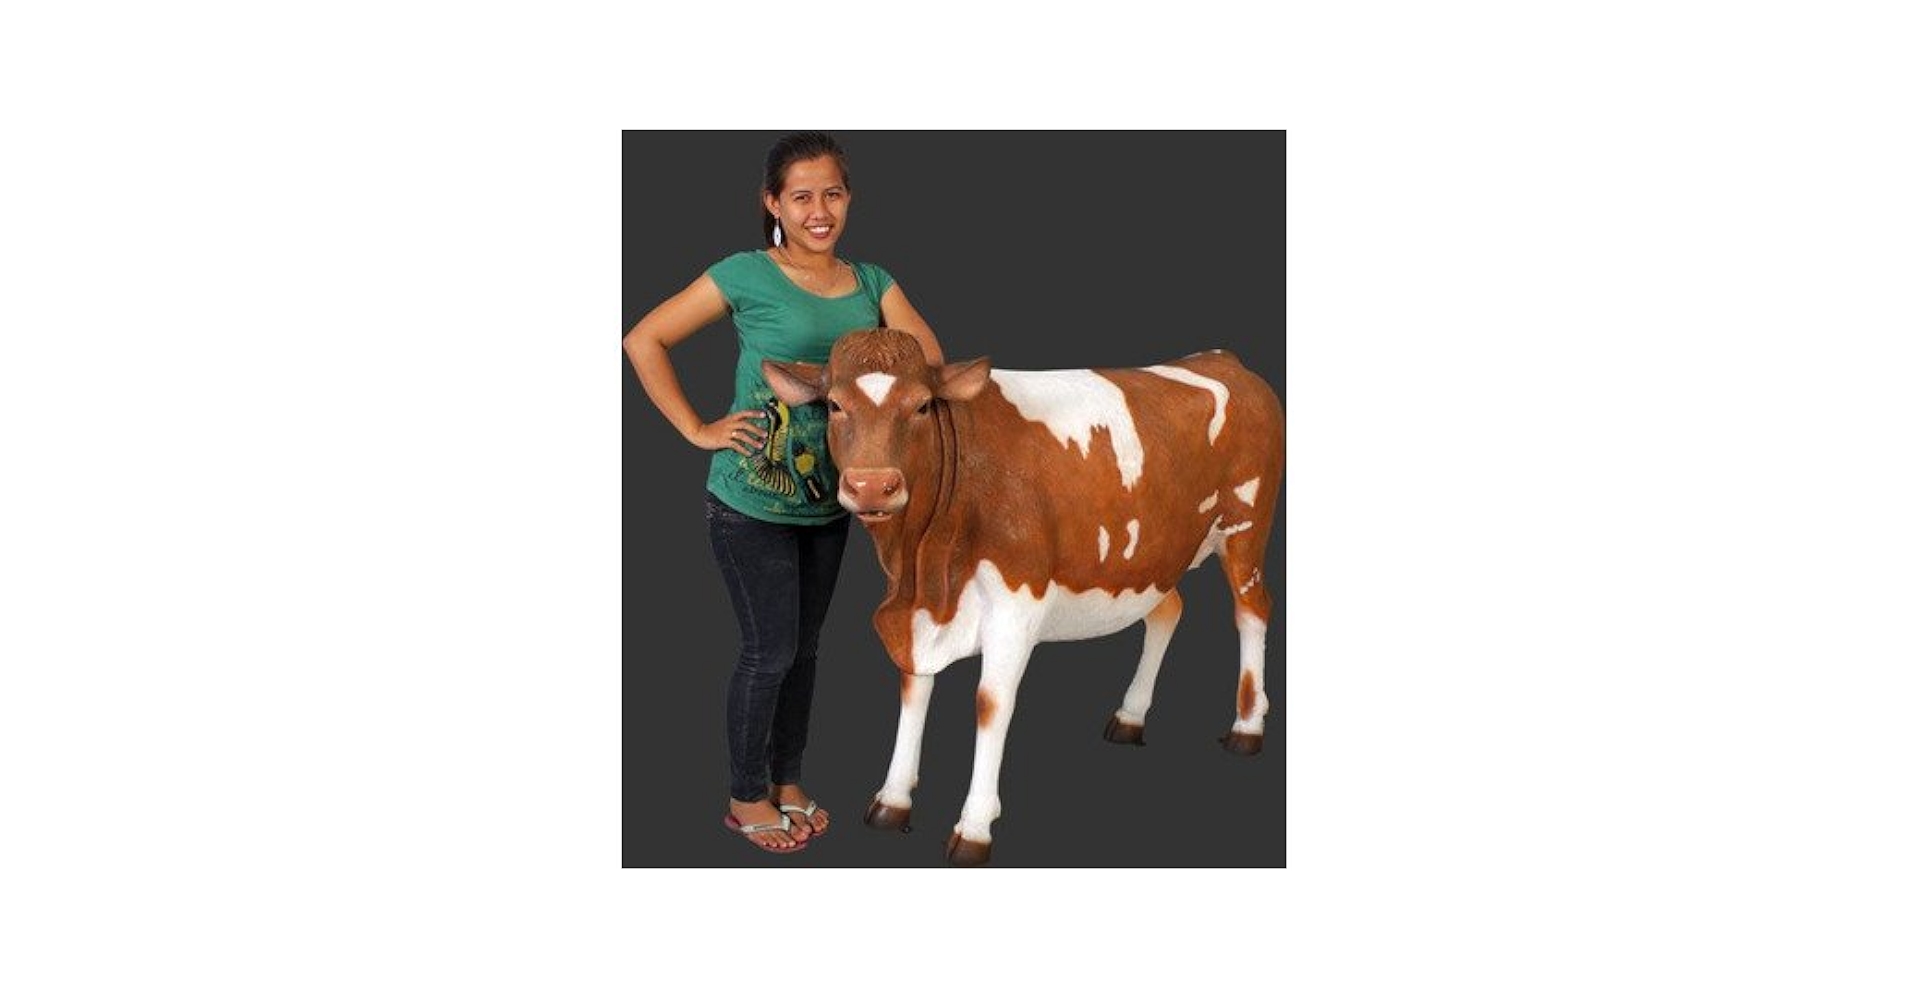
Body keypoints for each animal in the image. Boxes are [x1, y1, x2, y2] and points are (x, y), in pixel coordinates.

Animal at [764, 328, 1284, 866]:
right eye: (835, 405)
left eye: (923, 405)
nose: (871, 486)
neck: (922, 571)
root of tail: (1223, 360)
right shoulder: (917, 614)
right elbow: (913, 686)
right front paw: (893, 798)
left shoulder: (1017, 604)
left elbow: (991, 701)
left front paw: (974, 825)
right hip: (1153, 560)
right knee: (1169, 611)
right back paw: (1131, 715)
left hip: (1246, 529)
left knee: (1252, 611)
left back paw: (1247, 727)